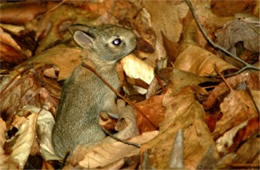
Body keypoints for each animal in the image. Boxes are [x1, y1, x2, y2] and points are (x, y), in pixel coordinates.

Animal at [50, 23, 136, 158]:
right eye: (116, 42)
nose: (135, 39)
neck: (100, 63)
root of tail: (65, 153)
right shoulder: (107, 96)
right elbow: (112, 109)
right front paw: (122, 109)